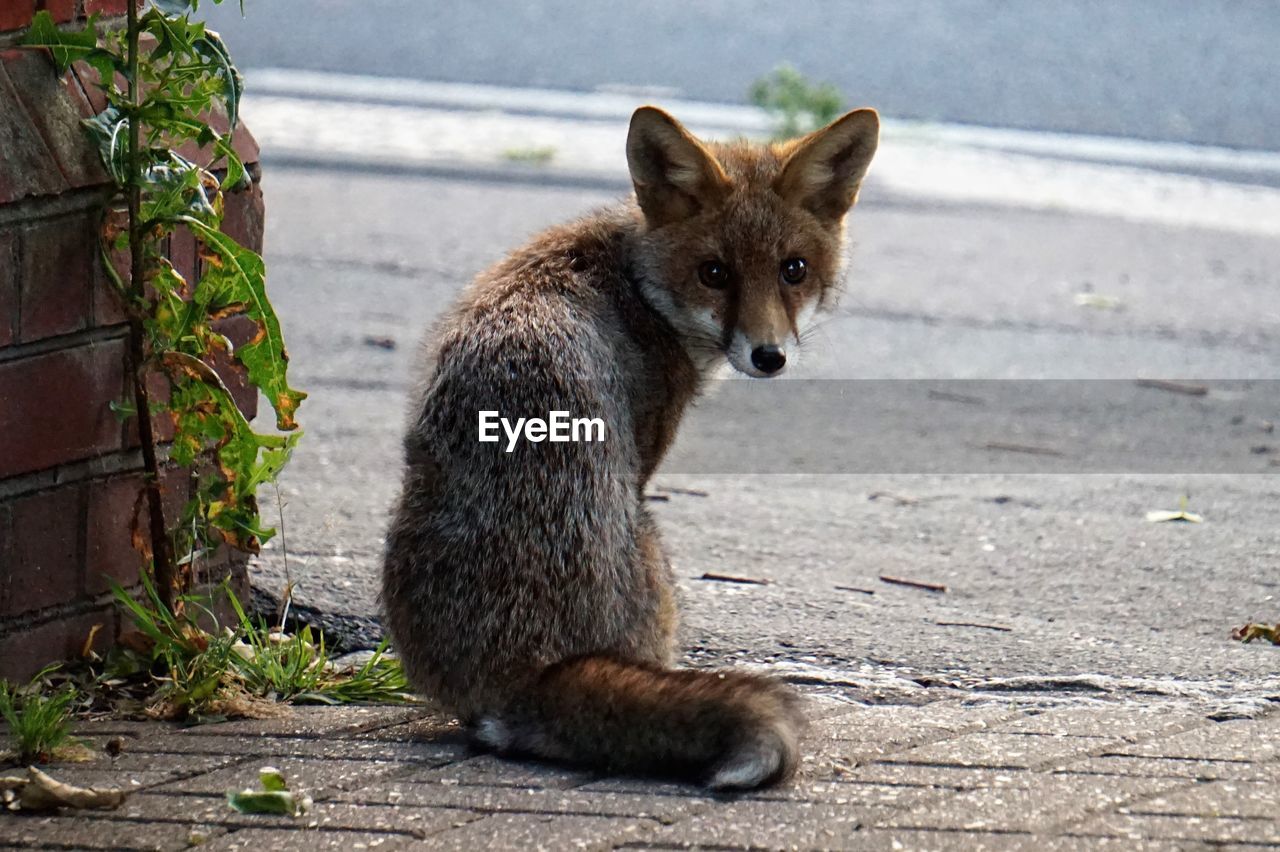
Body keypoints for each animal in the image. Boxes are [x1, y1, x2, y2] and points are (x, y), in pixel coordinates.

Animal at [378, 102, 880, 788]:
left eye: (793, 270)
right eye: (714, 273)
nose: (768, 356)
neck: (634, 286)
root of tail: (532, 668)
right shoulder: (645, 453)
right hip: (651, 544)